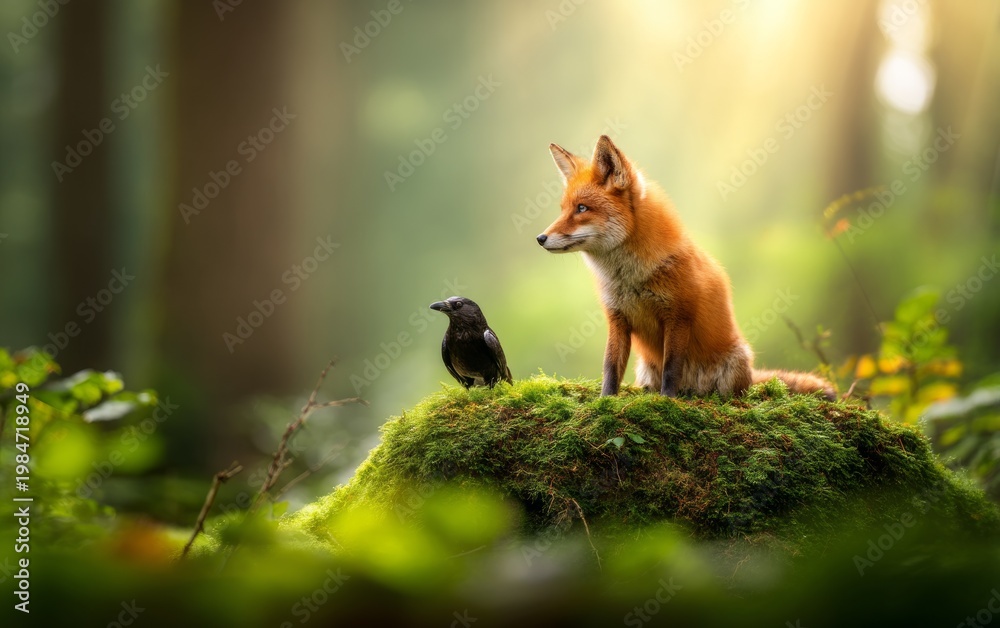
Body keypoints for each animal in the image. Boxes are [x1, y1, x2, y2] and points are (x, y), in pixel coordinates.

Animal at [536, 135, 834, 400]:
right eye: (563, 209)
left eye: (582, 208)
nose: (540, 238)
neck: (631, 278)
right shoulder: (617, 319)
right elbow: (610, 368)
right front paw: (605, 402)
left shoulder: (678, 316)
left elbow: (671, 368)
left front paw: (667, 401)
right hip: (645, 369)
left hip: (734, 364)